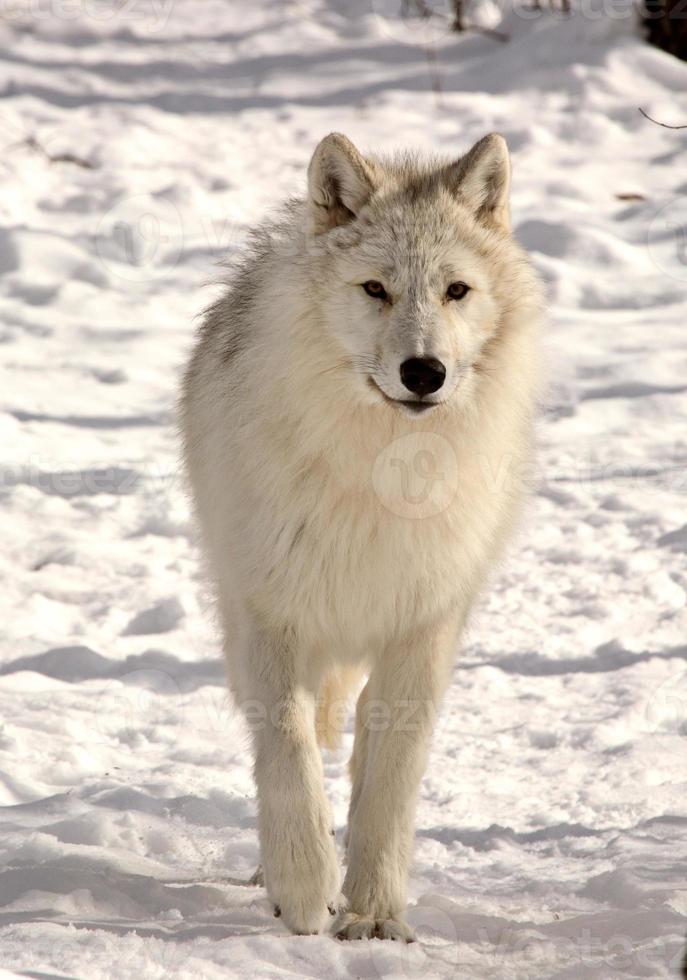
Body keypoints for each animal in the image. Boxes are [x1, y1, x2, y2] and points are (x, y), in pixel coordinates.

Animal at [181, 132, 544, 940]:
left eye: (456, 291)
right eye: (375, 289)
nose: (423, 371)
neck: (384, 475)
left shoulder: (424, 628)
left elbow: (390, 779)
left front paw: (374, 913)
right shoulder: (273, 616)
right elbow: (287, 755)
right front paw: (303, 890)